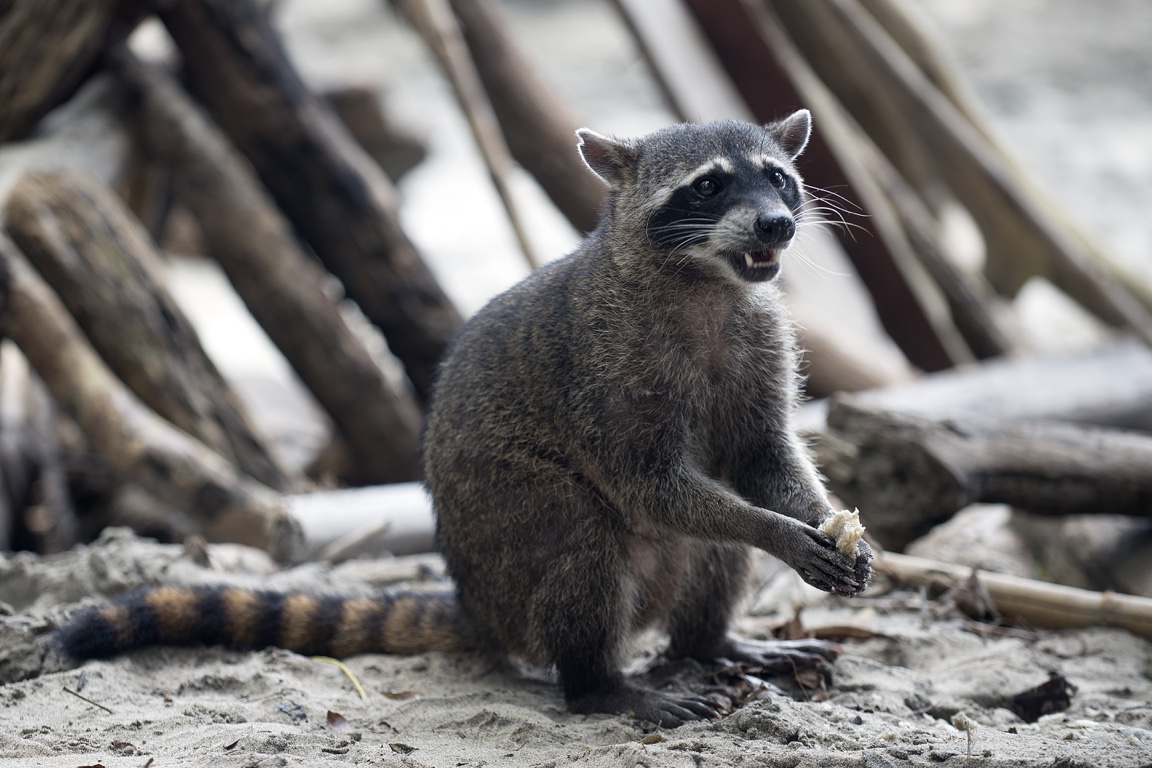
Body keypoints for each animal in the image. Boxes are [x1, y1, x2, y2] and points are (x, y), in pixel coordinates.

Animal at [58, 113, 872, 727]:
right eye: (708, 184)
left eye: (778, 177)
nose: (777, 223)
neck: (707, 282)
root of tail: (480, 607)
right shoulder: (602, 363)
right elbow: (646, 484)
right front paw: (776, 531)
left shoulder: (760, 334)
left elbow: (762, 456)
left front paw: (821, 520)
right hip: (509, 534)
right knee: (580, 535)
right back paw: (599, 684)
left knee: (708, 553)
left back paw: (710, 643)